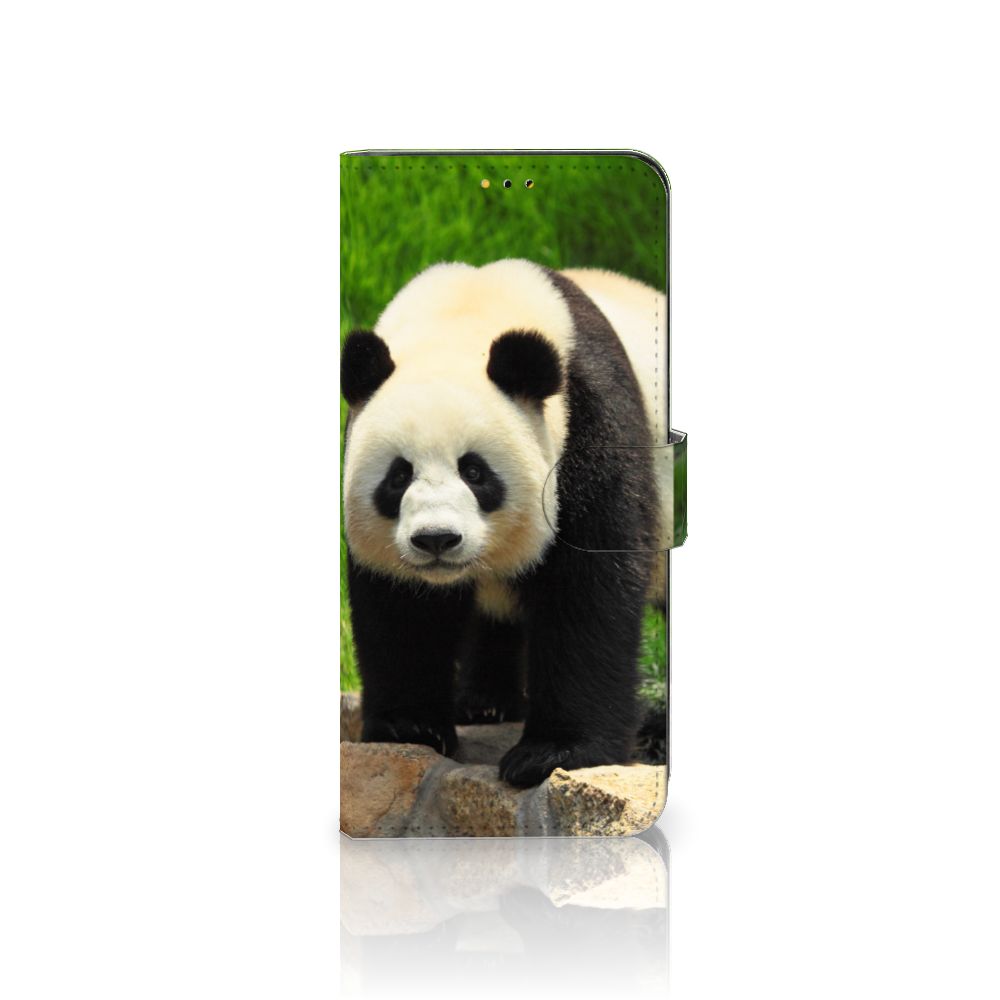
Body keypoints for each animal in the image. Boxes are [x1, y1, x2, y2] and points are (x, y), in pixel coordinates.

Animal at [341, 259, 667, 788]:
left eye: (475, 472)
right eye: (398, 475)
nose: (436, 539)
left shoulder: (590, 425)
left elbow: (589, 589)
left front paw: (552, 753)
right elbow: (401, 607)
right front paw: (409, 727)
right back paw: (485, 703)